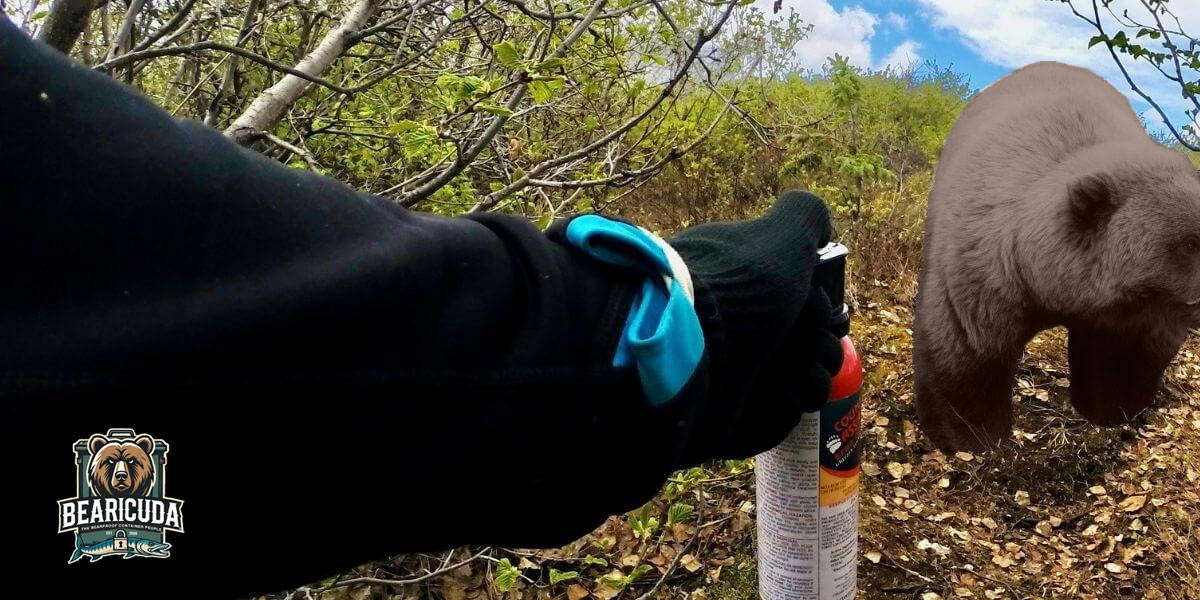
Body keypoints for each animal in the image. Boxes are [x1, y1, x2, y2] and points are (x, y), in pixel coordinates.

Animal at [914, 61, 1200, 451]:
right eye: (1190, 243)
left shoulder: (1132, 312)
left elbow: (1120, 355)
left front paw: (1112, 410)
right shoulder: (984, 266)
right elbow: (966, 348)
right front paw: (973, 436)